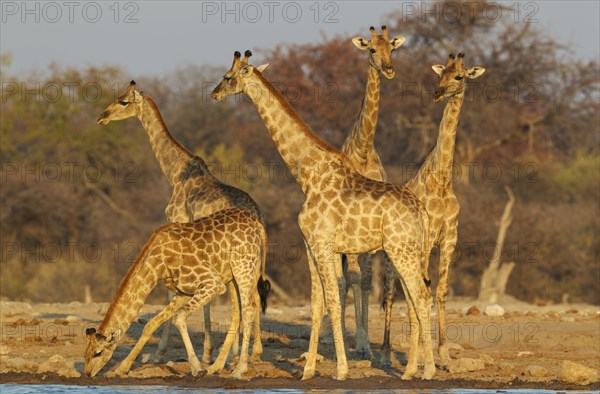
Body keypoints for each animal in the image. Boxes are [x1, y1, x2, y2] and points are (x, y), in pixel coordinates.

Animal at [84, 209, 270, 378]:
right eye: (85, 353)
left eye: (98, 352)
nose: (87, 374)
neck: (158, 264)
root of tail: (257, 223)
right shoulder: (183, 293)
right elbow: (151, 323)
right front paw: (121, 369)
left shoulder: (213, 283)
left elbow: (178, 317)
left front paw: (197, 368)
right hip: (234, 275)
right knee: (238, 313)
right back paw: (215, 367)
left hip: (242, 267)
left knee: (249, 309)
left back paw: (239, 369)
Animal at [97, 81, 268, 364]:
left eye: (123, 101)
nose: (102, 116)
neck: (175, 173)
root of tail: (258, 215)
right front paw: (208, 353)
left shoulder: (177, 225)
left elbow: (174, 293)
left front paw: (163, 353)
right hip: (250, 259)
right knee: (251, 294)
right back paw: (249, 353)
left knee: (248, 297)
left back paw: (241, 355)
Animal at [213, 50, 434, 380]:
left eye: (228, 77)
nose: (214, 94)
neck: (308, 175)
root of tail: (421, 210)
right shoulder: (309, 244)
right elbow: (317, 304)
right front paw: (308, 370)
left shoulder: (322, 243)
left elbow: (332, 300)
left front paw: (340, 369)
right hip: (406, 252)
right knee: (415, 298)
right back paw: (409, 371)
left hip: (401, 250)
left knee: (421, 297)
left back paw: (428, 370)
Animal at [382, 52, 486, 366]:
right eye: (441, 74)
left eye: (459, 76)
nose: (438, 93)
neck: (440, 182)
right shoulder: (427, 239)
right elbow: (422, 291)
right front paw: (422, 354)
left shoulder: (450, 237)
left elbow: (440, 291)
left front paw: (444, 354)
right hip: (392, 255)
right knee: (390, 293)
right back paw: (384, 353)